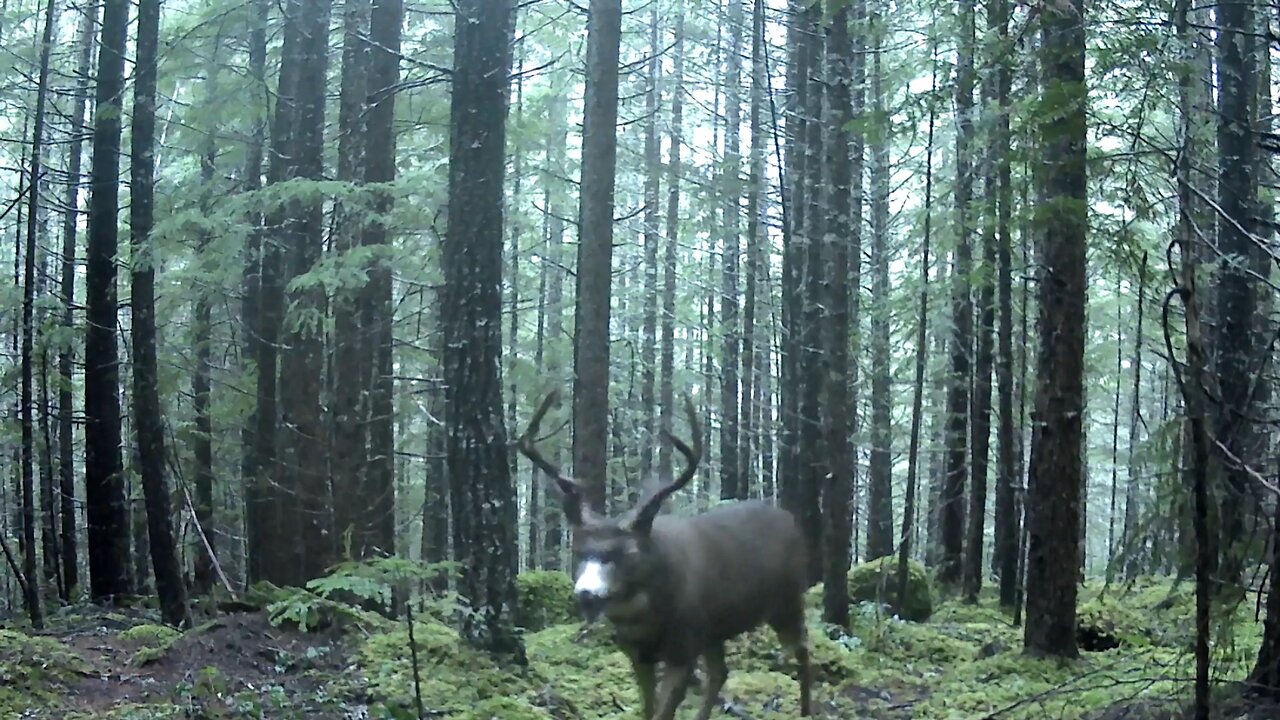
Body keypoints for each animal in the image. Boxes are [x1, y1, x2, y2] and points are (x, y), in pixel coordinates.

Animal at [512, 389, 803, 717]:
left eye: (629, 552)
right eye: (579, 551)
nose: (587, 594)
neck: (646, 617)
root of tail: (790, 519)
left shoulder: (683, 649)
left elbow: (664, 711)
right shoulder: (639, 654)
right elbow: (649, 709)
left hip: (788, 599)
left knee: (803, 655)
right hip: (715, 630)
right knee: (720, 672)